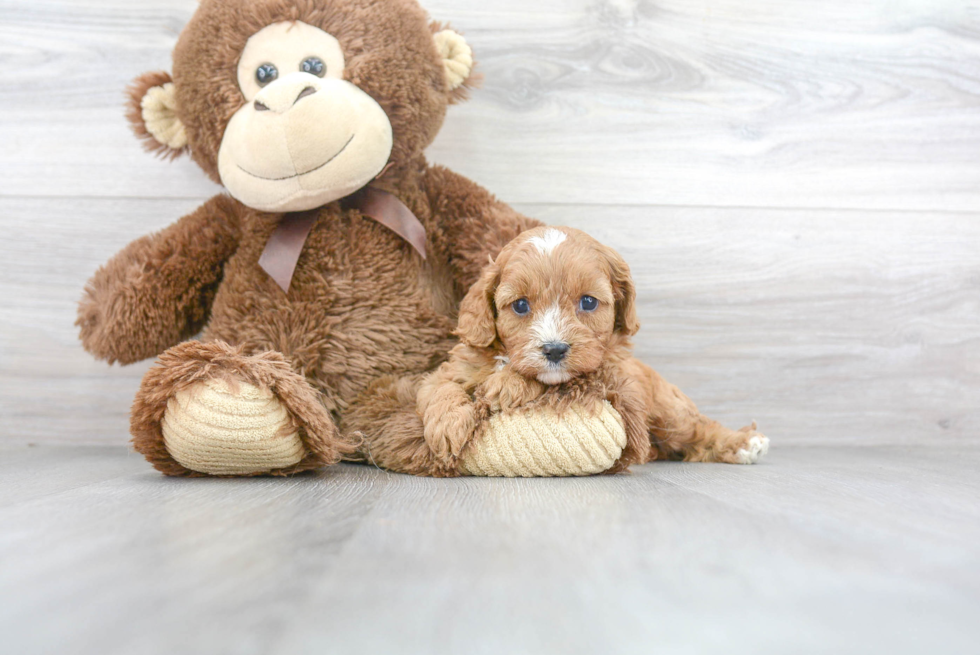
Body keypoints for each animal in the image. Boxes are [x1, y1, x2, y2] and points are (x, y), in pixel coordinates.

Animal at [418, 226, 768, 472]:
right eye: (519, 305)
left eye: (588, 302)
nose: (555, 350)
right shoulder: (453, 369)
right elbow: (440, 388)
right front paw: (447, 428)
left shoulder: (602, 377)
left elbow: (546, 382)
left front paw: (507, 384)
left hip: (669, 411)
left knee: (697, 429)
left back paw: (744, 443)